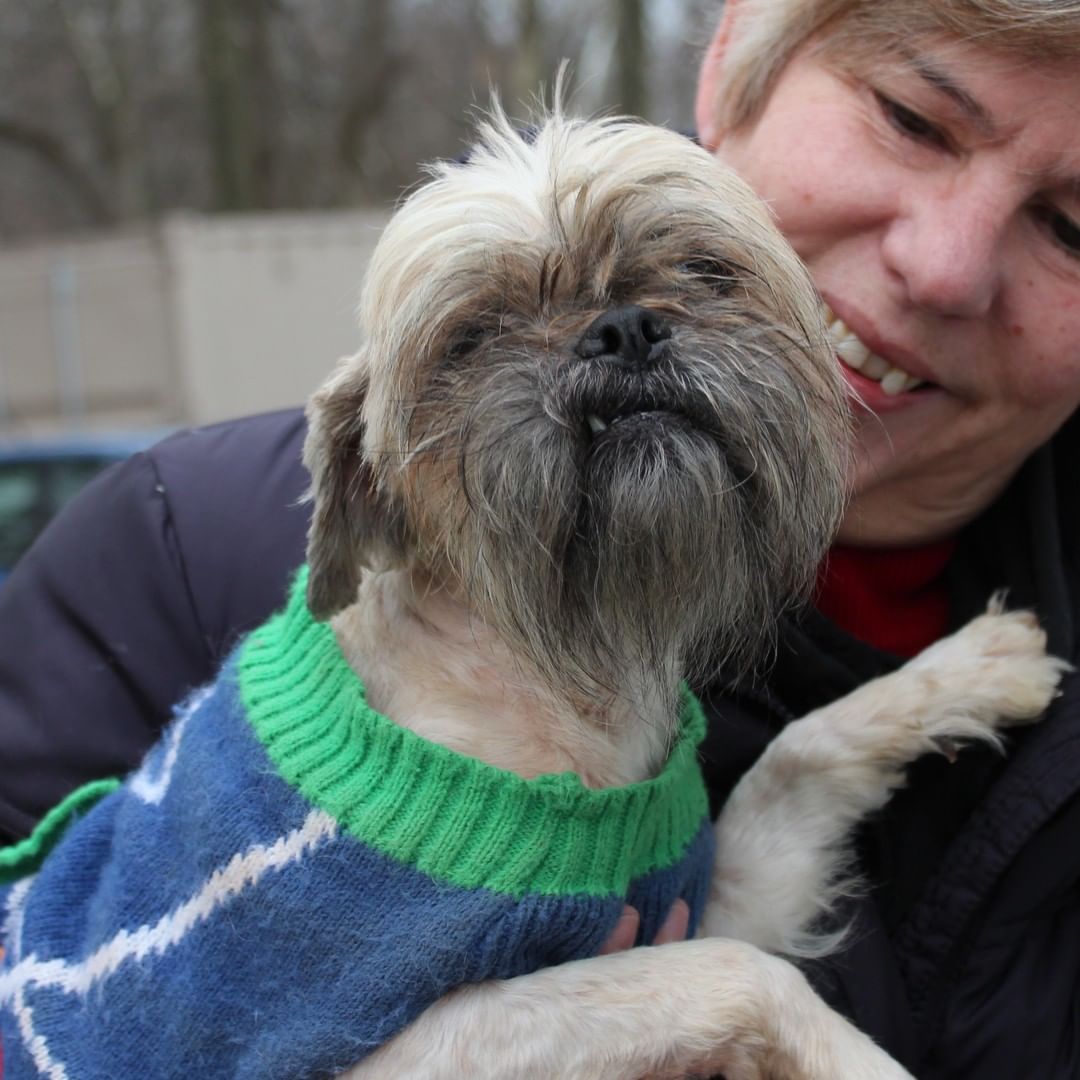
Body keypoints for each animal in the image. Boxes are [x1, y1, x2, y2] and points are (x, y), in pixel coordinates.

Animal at [0, 107, 1062, 1080]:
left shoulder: (710, 894)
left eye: (705, 272)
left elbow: (794, 760)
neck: (560, 684)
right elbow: (738, 975)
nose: (623, 328)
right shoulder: (401, 1047)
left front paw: (966, 670)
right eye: (471, 337)